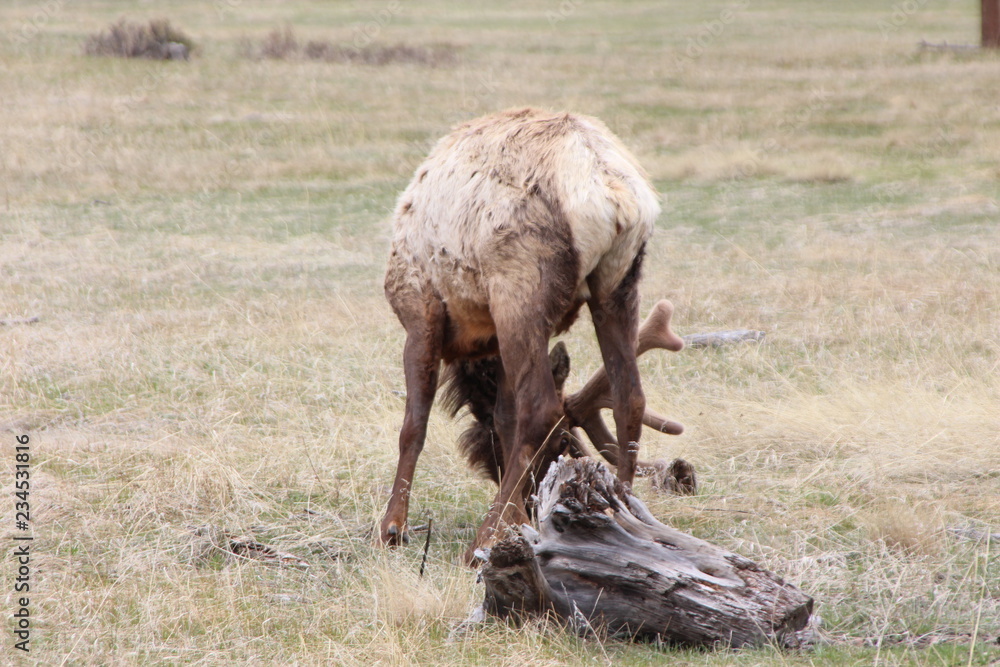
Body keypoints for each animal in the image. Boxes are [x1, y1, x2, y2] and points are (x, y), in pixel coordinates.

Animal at [380, 107, 683, 564]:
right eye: (569, 445)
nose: (532, 498)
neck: (472, 353)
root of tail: (612, 192)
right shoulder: (493, 338)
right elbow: (506, 421)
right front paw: (517, 518)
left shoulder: (420, 310)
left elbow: (413, 426)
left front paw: (392, 527)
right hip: (618, 285)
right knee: (629, 398)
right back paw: (625, 515)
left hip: (520, 288)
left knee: (540, 407)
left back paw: (483, 540)